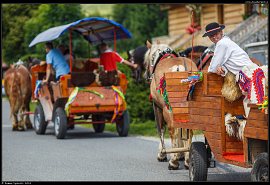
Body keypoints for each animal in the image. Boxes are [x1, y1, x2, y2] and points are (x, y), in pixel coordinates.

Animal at [143, 41, 198, 170]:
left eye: (146, 61)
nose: (146, 75)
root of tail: (179, 68)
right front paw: (181, 154)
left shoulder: (157, 107)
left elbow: (161, 129)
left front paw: (162, 154)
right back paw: (187, 160)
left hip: (167, 109)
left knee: (173, 130)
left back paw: (173, 161)